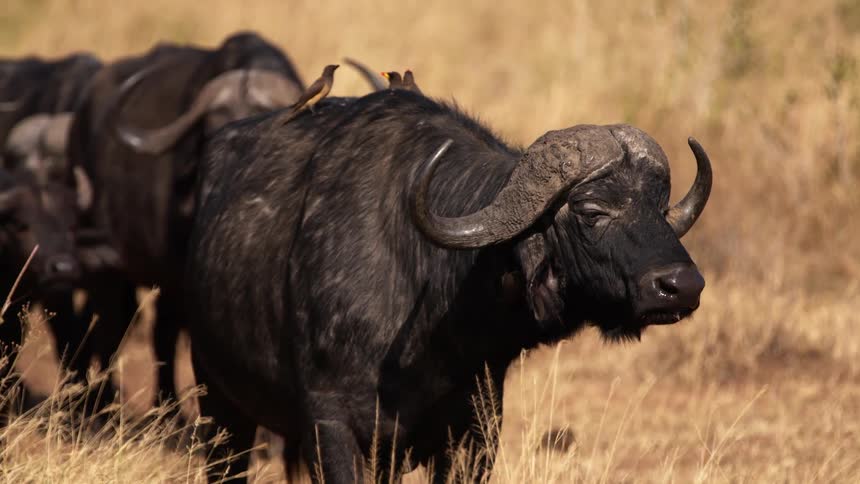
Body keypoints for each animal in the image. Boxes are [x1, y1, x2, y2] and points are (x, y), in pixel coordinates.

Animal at [186, 89, 711, 482]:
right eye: (592, 211)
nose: (681, 286)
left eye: (658, 204)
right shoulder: (331, 427)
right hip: (219, 408)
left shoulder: (475, 433)